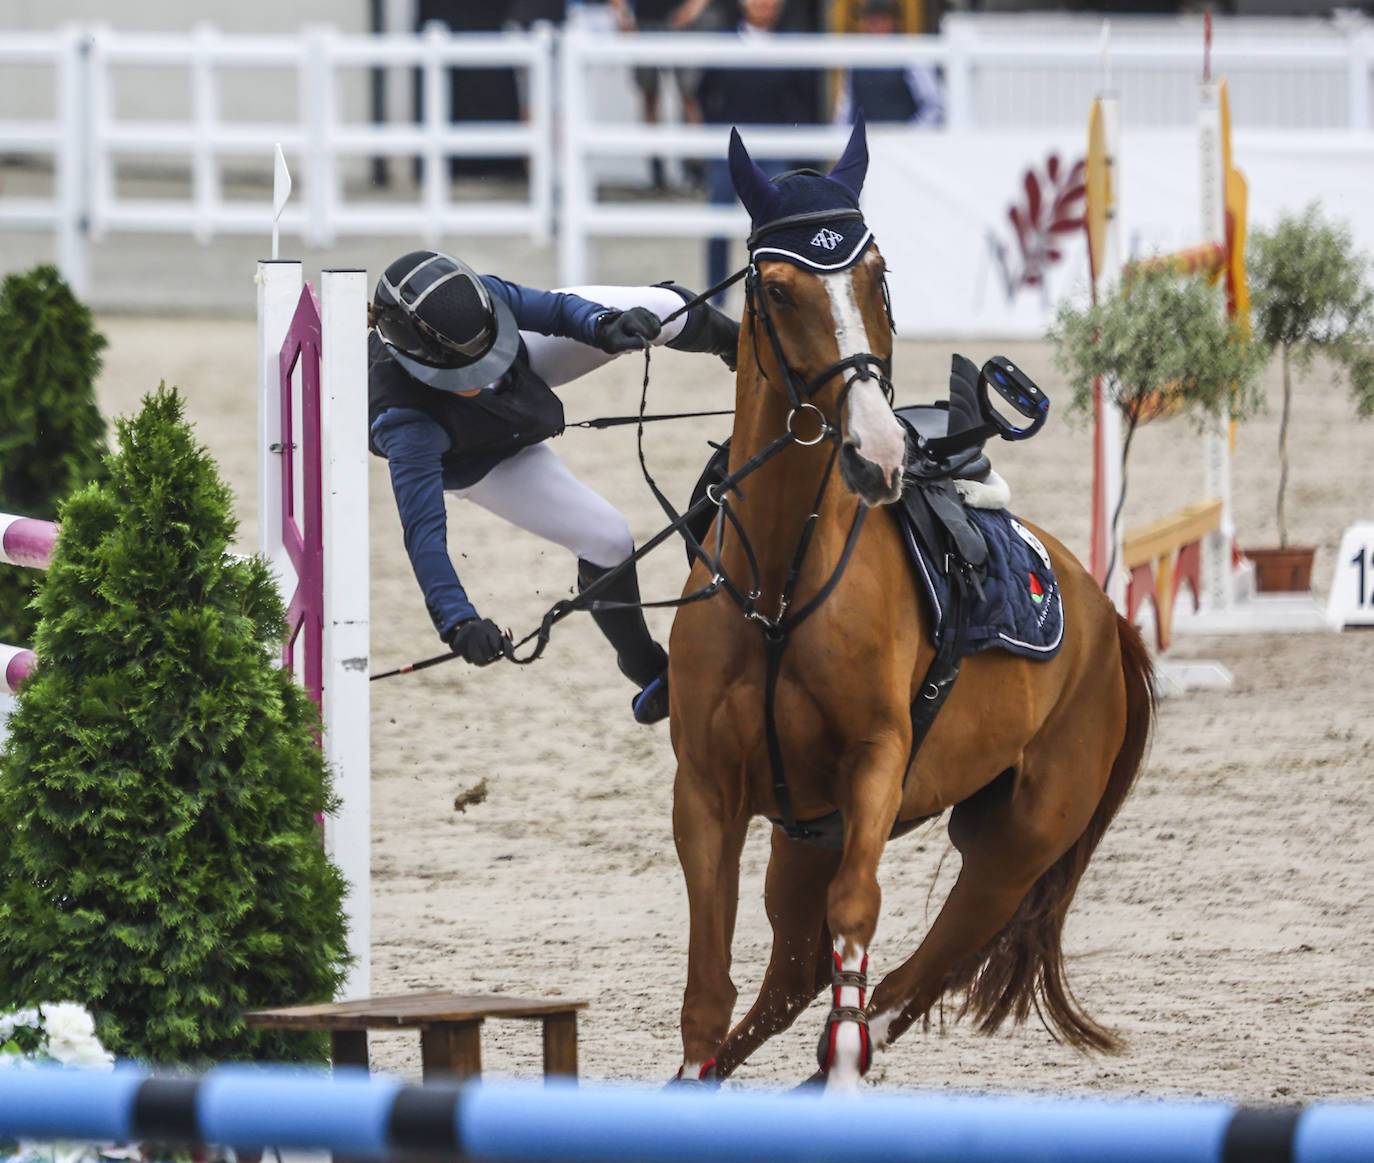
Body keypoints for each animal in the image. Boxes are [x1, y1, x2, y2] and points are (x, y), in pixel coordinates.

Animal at [665, 123, 1159, 1099]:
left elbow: (859, 915)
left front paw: (844, 1068)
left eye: (876, 273)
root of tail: (1103, 615)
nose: (879, 451)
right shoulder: (703, 788)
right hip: (803, 842)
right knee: (794, 976)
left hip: (1012, 849)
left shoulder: (875, 764)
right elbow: (708, 983)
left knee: (904, 982)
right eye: (775, 288)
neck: (779, 587)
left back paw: (840, 1067)